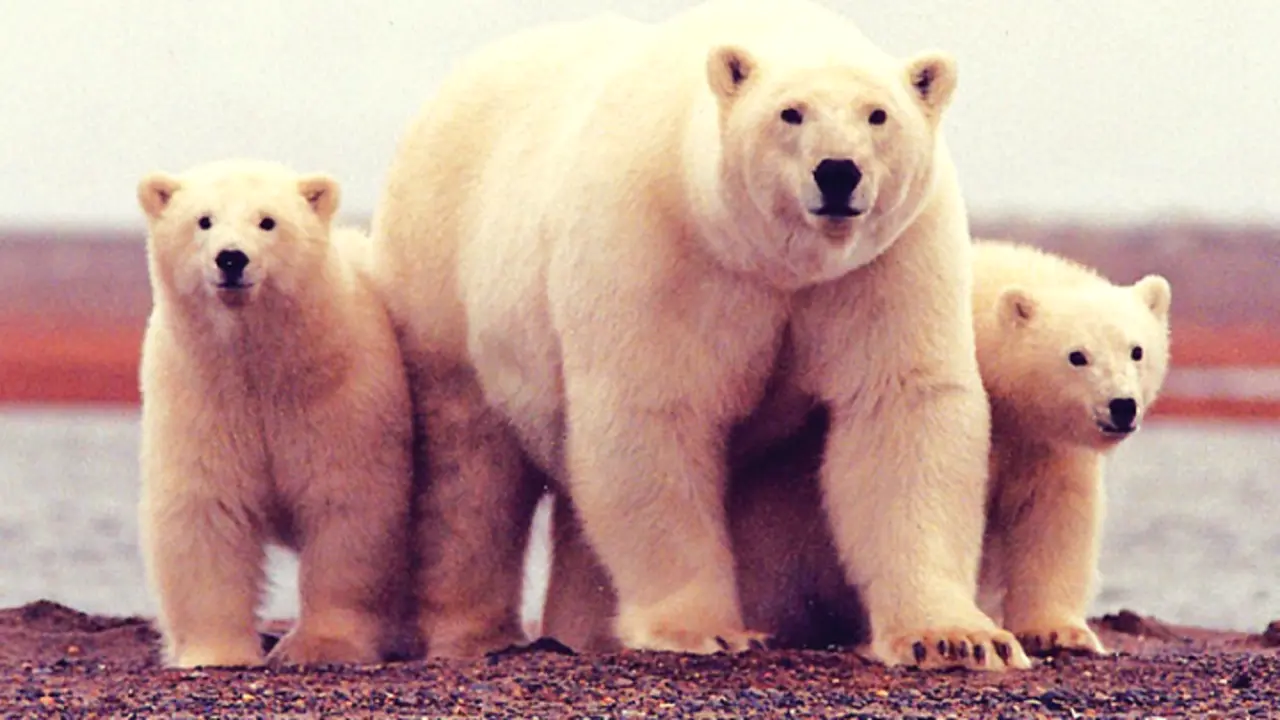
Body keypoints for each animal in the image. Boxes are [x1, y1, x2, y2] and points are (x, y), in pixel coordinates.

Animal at [135, 159, 415, 668]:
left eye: (268, 221)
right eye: (203, 220)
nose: (231, 259)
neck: (262, 368)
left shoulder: (341, 398)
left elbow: (348, 508)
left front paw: (321, 646)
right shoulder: (201, 397)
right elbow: (207, 510)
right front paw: (216, 653)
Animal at [370, 0, 1026, 669]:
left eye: (878, 114)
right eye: (790, 112)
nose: (838, 172)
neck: (773, 261)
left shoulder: (886, 261)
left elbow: (900, 406)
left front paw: (956, 638)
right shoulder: (662, 244)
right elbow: (655, 412)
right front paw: (702, 629)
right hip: (443, 271)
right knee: (468, 469)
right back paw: (474, 633)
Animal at [541, 239, 1173, 659]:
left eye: (1137, 350)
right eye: (1076, 356)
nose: (1121, 406)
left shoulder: (1043, 444)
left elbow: (1054, 517)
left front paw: (1059, 631)